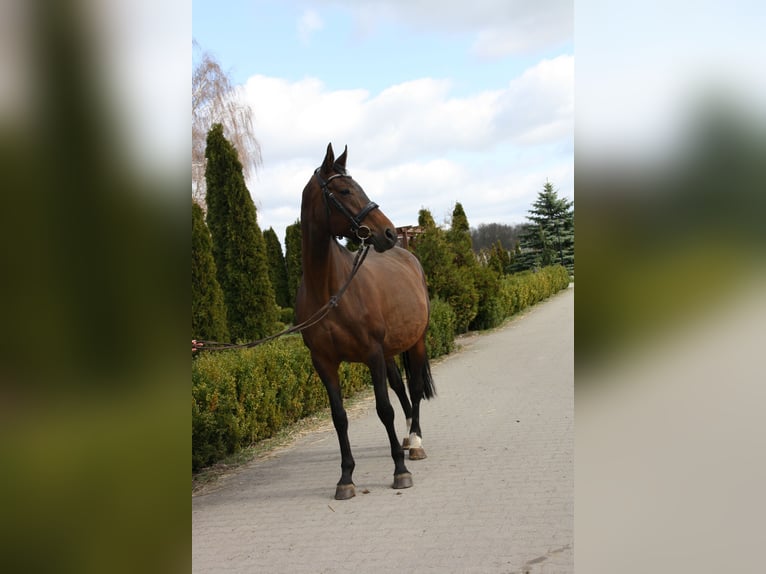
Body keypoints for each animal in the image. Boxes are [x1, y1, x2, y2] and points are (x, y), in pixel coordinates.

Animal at [296, 145, 438, 504]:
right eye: (345, 190)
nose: (387, 232)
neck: (330, 291)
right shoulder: (324, 363)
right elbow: (339, 418)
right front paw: (346, 477)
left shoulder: (372, 354)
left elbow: (383, 409)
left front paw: (400, 470)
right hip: (389, 352)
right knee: (401, 387)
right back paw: (407, 437)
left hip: (416, 342)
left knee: (415, 388)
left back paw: (415, 441)